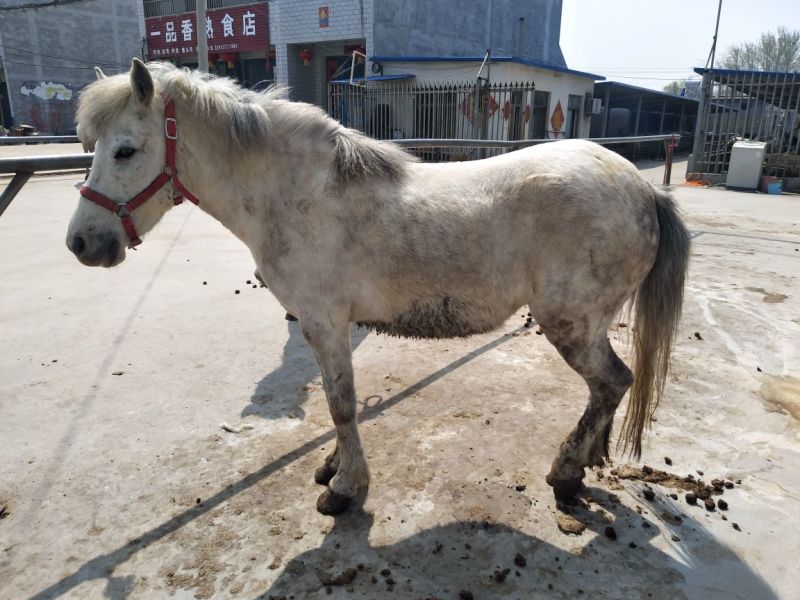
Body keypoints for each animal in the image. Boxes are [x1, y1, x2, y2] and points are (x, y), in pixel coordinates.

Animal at [66, 59, 690, 515]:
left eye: (125, 149)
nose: (81, 243)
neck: (295, 192)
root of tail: (643, 190)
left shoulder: (324, 322)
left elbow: (341, 405)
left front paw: (345, 489)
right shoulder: (322, 328)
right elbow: (334, 402)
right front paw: (335, 467)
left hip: (571, 323)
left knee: (611, 384)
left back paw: (563, 475)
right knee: (607, 391)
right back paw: (581, 468)